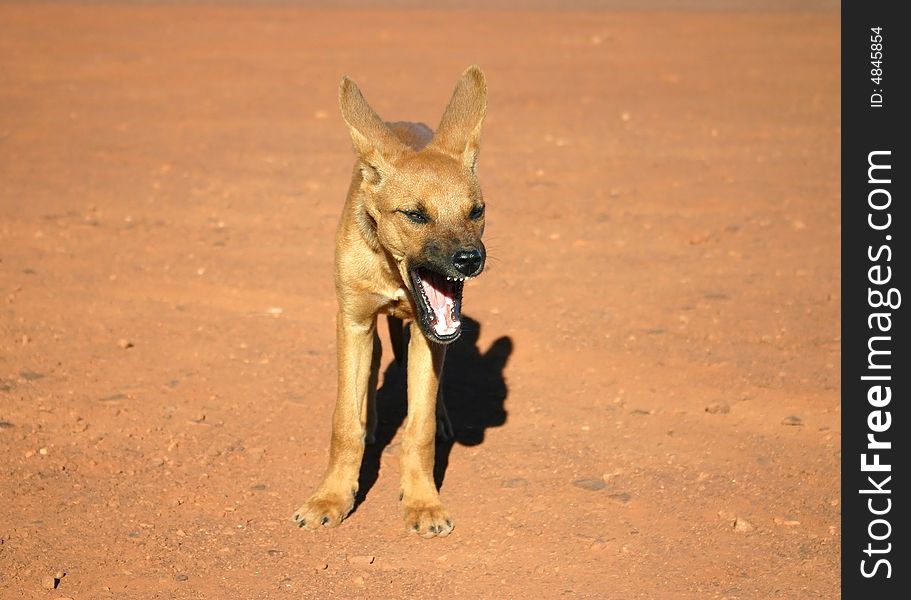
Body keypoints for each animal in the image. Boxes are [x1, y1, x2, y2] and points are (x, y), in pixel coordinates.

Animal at [296, 67, 488, 540]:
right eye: (415, 215)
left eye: (476, 211)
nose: (470, 259)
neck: (393, 273)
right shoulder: (353, 321)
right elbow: (344, 424)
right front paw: (331, 497)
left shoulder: (428, 334)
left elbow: (419, 431)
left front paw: (423, 503)